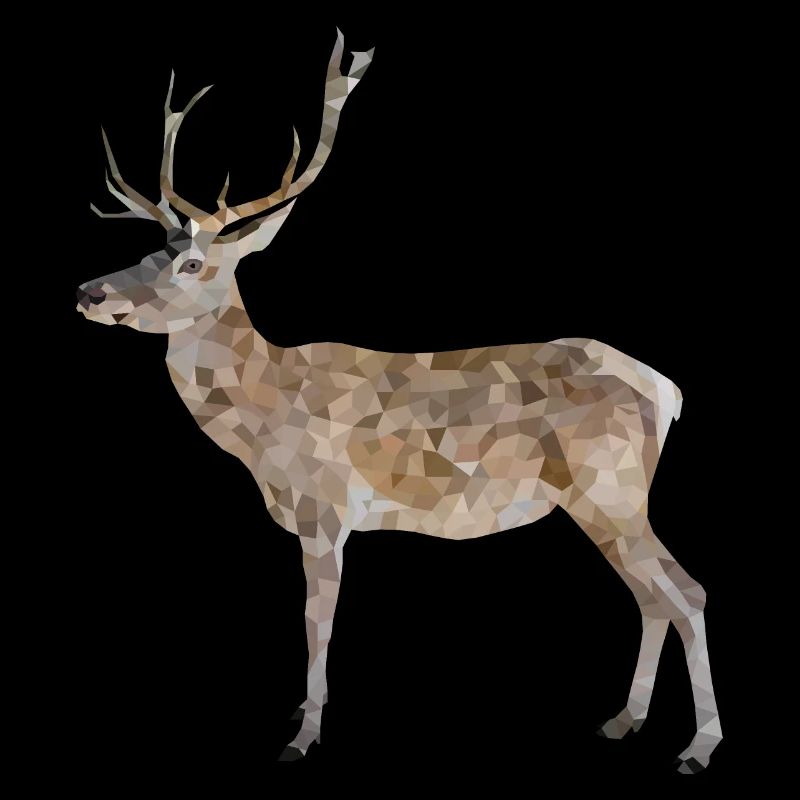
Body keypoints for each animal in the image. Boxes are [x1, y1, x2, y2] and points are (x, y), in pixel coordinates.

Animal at [76, 29, 722, 771]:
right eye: (150, 249)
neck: (265, 420)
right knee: (652, 597)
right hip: (602, 501)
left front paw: (303, 735)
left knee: (686, 591)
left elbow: (318, 624)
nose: (89, 292)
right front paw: (300, 717)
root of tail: (668, 391)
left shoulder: (326, 510)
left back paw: (699, 745)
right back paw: (625, 720)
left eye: (191, 263)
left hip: (611, 486)